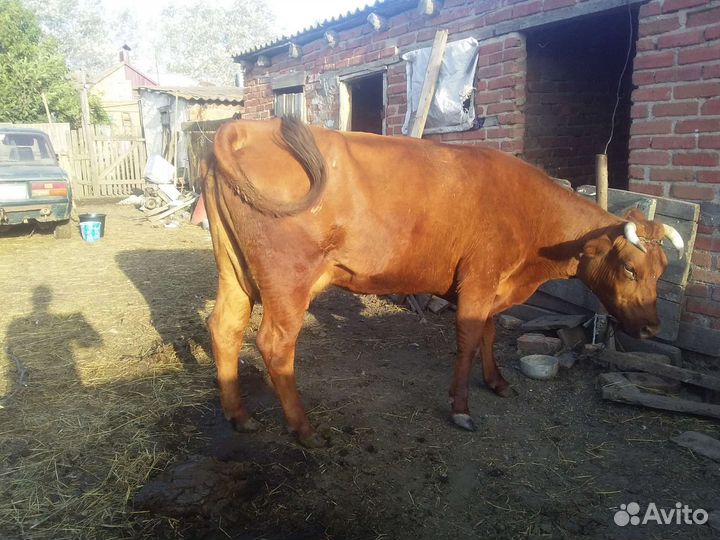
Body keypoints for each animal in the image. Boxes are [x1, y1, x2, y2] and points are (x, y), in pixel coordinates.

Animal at [202, 117, 684, 448]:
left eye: (662, 270)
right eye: (630, 269)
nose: (653, 328)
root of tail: (247, 126)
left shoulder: (491, 286)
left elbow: (488, 332)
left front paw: (497, 382)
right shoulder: (480, 278)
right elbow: (469, 339)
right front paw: (461, 408)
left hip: (234, 271)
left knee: (224, 326)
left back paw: (238, 415)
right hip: (288, 280)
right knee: (274, 344)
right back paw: (304, 428)